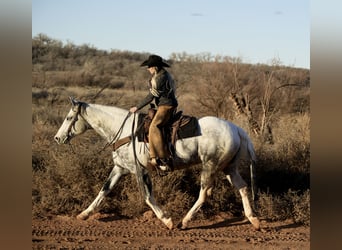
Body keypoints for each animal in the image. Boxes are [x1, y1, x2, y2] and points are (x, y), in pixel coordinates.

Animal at [54, 96, 260, 229]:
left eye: (69, 118)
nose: (57, 138)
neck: (124, 131)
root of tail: (236, 129)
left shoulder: (140, 170)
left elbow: (147, 196)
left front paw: (166, 220)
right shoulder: (120, 168)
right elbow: (104, 190)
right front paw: (84, 214)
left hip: (210, 166)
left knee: (204, 193)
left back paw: (184, 222)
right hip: (228, 167)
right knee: (242, 187)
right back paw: (254, 220)